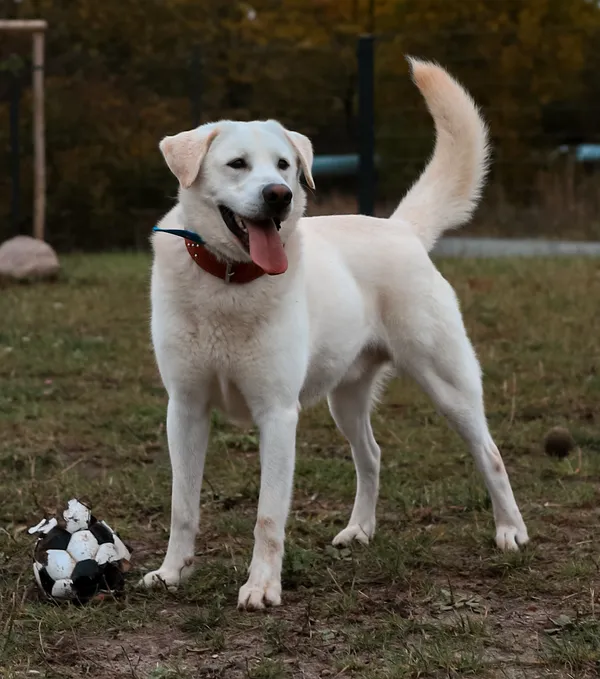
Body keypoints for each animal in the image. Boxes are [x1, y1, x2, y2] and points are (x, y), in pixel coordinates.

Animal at [143, 59, 528, 612]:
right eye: (237, 164)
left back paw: (510, 532)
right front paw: (173, 573)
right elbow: (182, 506)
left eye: (284, 165)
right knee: (371, 455)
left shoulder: (278, 415)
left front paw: (262, 587)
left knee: (491, 454)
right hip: (344, 400)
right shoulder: (186, 409)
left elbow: (267, 516)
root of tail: (401, 228)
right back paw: (359, 531)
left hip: (448, 385)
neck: (230, 281)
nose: (279, 196)